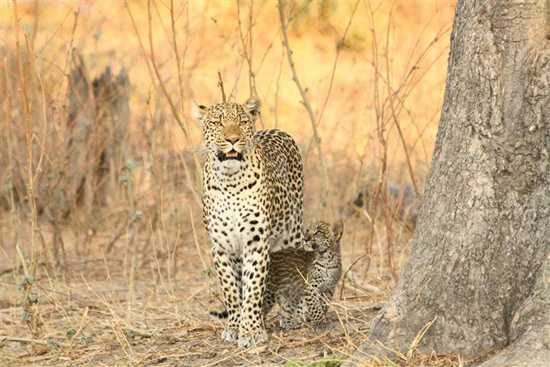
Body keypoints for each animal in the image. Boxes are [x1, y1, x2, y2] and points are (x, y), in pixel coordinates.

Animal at [193, 98, 306, 348]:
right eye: (218, 123)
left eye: (243, 122)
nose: (233, 139)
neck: (230, 183)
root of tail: (277, 130)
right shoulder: (221, 246)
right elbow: (231, 290)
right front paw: (235, 327)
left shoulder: (256, 242)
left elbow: (254, 287)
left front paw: (252, 331)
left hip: (292, 232)